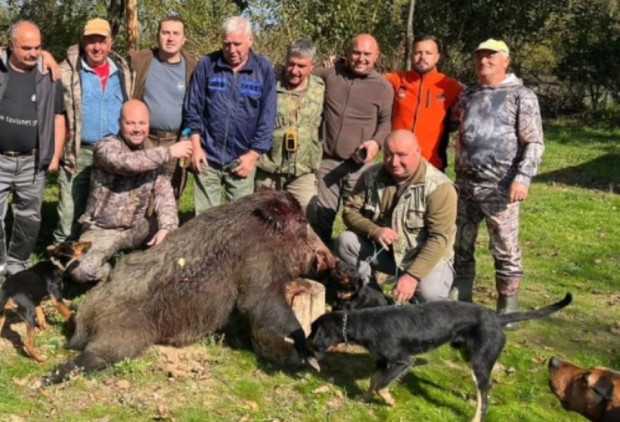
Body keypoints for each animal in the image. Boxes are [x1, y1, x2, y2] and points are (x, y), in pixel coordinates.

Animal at [308, 294, 572, 422]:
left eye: (314, 329)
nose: (307, 343)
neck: (361, 322)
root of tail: (497, 318)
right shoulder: (382, 361)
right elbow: (374, 381)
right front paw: (364, 398)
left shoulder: (402, 361)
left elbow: (382, 385)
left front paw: (390, 402)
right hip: (470, 356)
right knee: (487, 389)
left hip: (479, 363)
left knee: (484, 398)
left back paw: (474, 418)